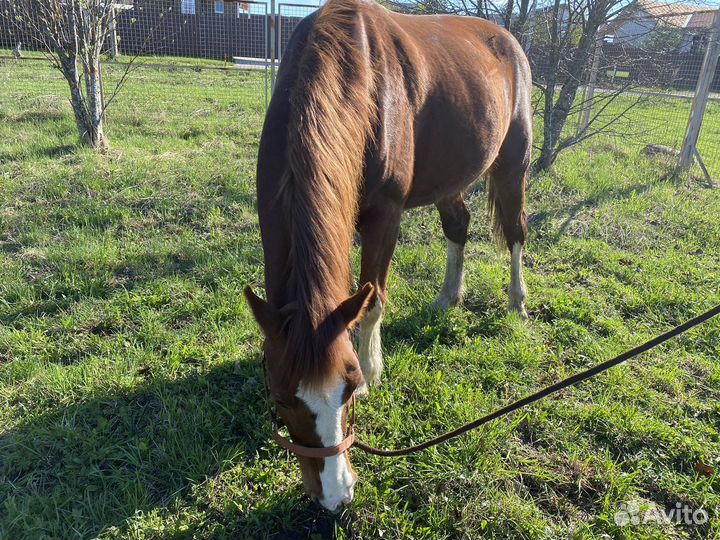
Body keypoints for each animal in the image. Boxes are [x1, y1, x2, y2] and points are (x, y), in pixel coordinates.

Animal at [244, 0, 532, 512]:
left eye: (349, 386)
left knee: (516, 230)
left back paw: (517, 301)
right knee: (458, 225)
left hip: (512, 161)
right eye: (279, 398)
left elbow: (372, 298)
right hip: (451, 178)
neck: (354, 72)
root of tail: (506, 40)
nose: (337, 495)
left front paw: (375, 368)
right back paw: (448, 298)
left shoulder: (385, 216)